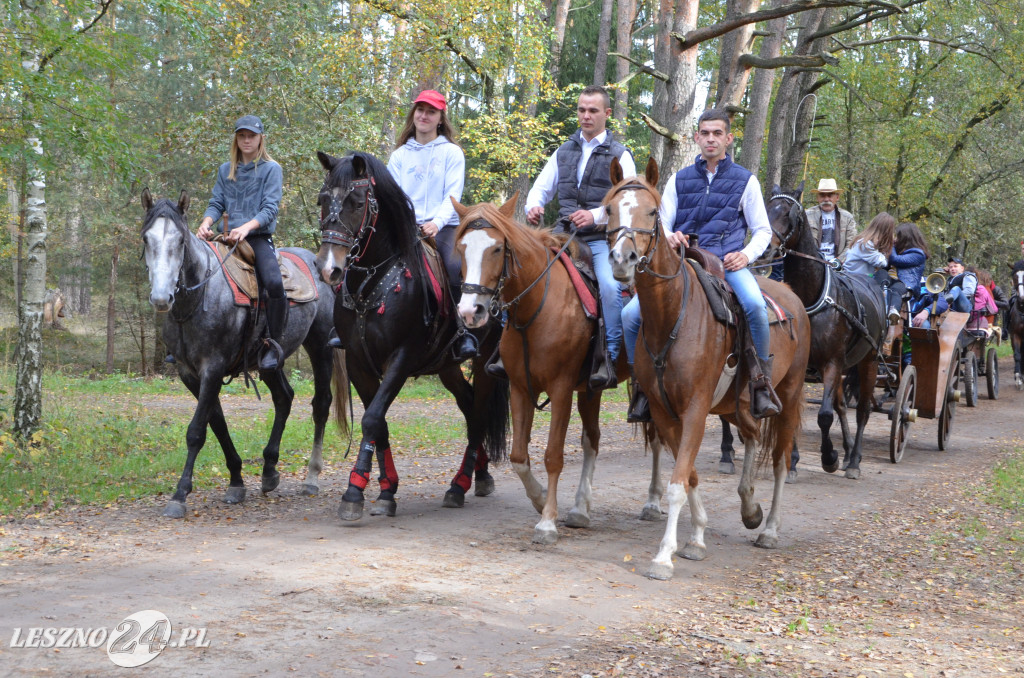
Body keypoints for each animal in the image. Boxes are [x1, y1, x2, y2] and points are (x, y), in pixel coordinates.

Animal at [313, 150, 509, 520]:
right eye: (322, 200)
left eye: (356, 203)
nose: (328, 268)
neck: (373, 282)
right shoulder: (359, 364)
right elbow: (378, 424)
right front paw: (386, 489)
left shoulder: (400, 360)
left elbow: (372, 419)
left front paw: (355, 491)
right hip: (448, 367)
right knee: (468, 405)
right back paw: (481, 475)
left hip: (483, 360)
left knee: (478, 413)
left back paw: (459, 485)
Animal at [452, 193, 667, 544]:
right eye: (461, 247)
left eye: (496, 249)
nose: (471, 311)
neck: (538, 306)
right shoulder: (520, 388)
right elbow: (519, 456)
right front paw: (540, 499)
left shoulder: (561, 389)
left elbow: (553, 456)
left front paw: (547, 522)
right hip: (591, 391)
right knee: (592, 439)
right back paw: (580, 509)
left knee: (657, 437)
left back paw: (652, 502)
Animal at [598, 157, 806, 577]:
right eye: (610, 209)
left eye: (652, 212)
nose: (622, 260)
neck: (672, 314)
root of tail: (794, 299)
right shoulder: (664, 412)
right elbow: (689, 475)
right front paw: (695, 538)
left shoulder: (694, 408)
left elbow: (679, 482)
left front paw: (664, 555)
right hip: (736, 405)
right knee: (751, 437)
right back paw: (750, 508)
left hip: (788, 397)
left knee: (779, 461)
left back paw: (769, 529)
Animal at [765, 186, 884, 483]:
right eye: (766, 207)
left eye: (790, 214)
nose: (767, 249)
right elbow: (795, 412)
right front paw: (792, 464)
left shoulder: (831, 363)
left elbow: (824, 416)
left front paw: (829, 457)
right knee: (842, 405)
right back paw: (848, 451)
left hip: (869, 360)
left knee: (862, 411)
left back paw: (854, 461)